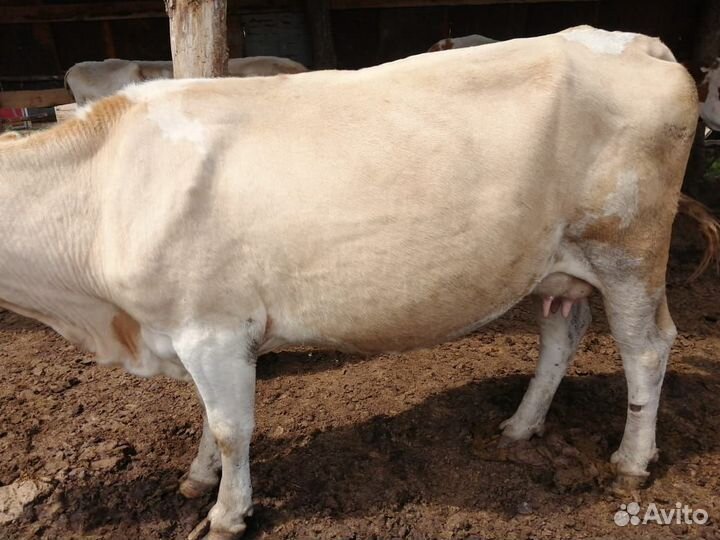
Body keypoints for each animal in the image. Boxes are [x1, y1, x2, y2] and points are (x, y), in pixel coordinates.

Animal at [0, 26, 710, 538]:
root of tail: (633, 41)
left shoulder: (213, 327)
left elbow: (231, 427)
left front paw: (228, 514)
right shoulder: (191, 328)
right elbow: (209, 416)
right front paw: (199, 480)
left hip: (628, 249)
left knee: (647, 349)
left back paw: (630, 464)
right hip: (556, 261)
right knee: (562, 334)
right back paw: (518, 427)